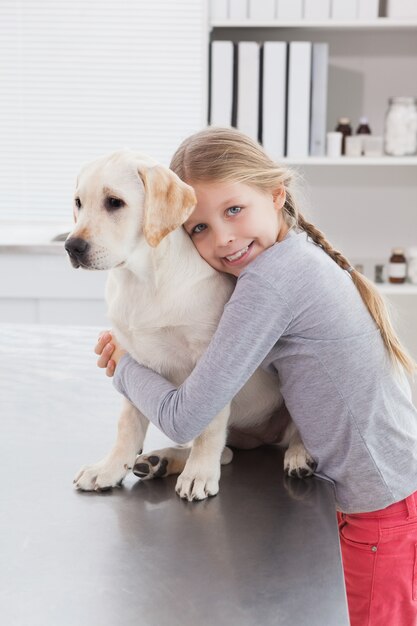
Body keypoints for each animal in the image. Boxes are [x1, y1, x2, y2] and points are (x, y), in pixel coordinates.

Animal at [65, 149, 314, 500]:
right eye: (78, 202)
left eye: (114, 202)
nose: (71, 247)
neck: (142, 280)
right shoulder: (133, 360)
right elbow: (128, 423)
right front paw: (110, 468)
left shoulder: (208, 360)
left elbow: (208, 429)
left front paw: (199, 474)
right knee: (227, 453)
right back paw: (159, 461)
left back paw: (300, 454)